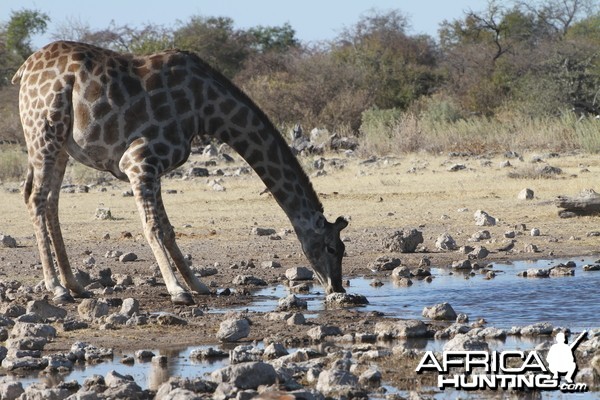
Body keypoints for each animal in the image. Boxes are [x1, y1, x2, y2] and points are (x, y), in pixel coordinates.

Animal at [11, 40, 346, 304]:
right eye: (331, 247)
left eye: (342, 248)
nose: (337, 288)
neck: (206, 108)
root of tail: (24, 69)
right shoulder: (139, 160)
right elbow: (153, 226)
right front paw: (177, 290)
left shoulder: (155, 168)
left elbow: (168, 228)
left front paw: (198, 284)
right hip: (44, 131)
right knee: (36, 198)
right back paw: (56, 288)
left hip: (60, 145)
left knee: (49, 201)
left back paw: (75, 286)